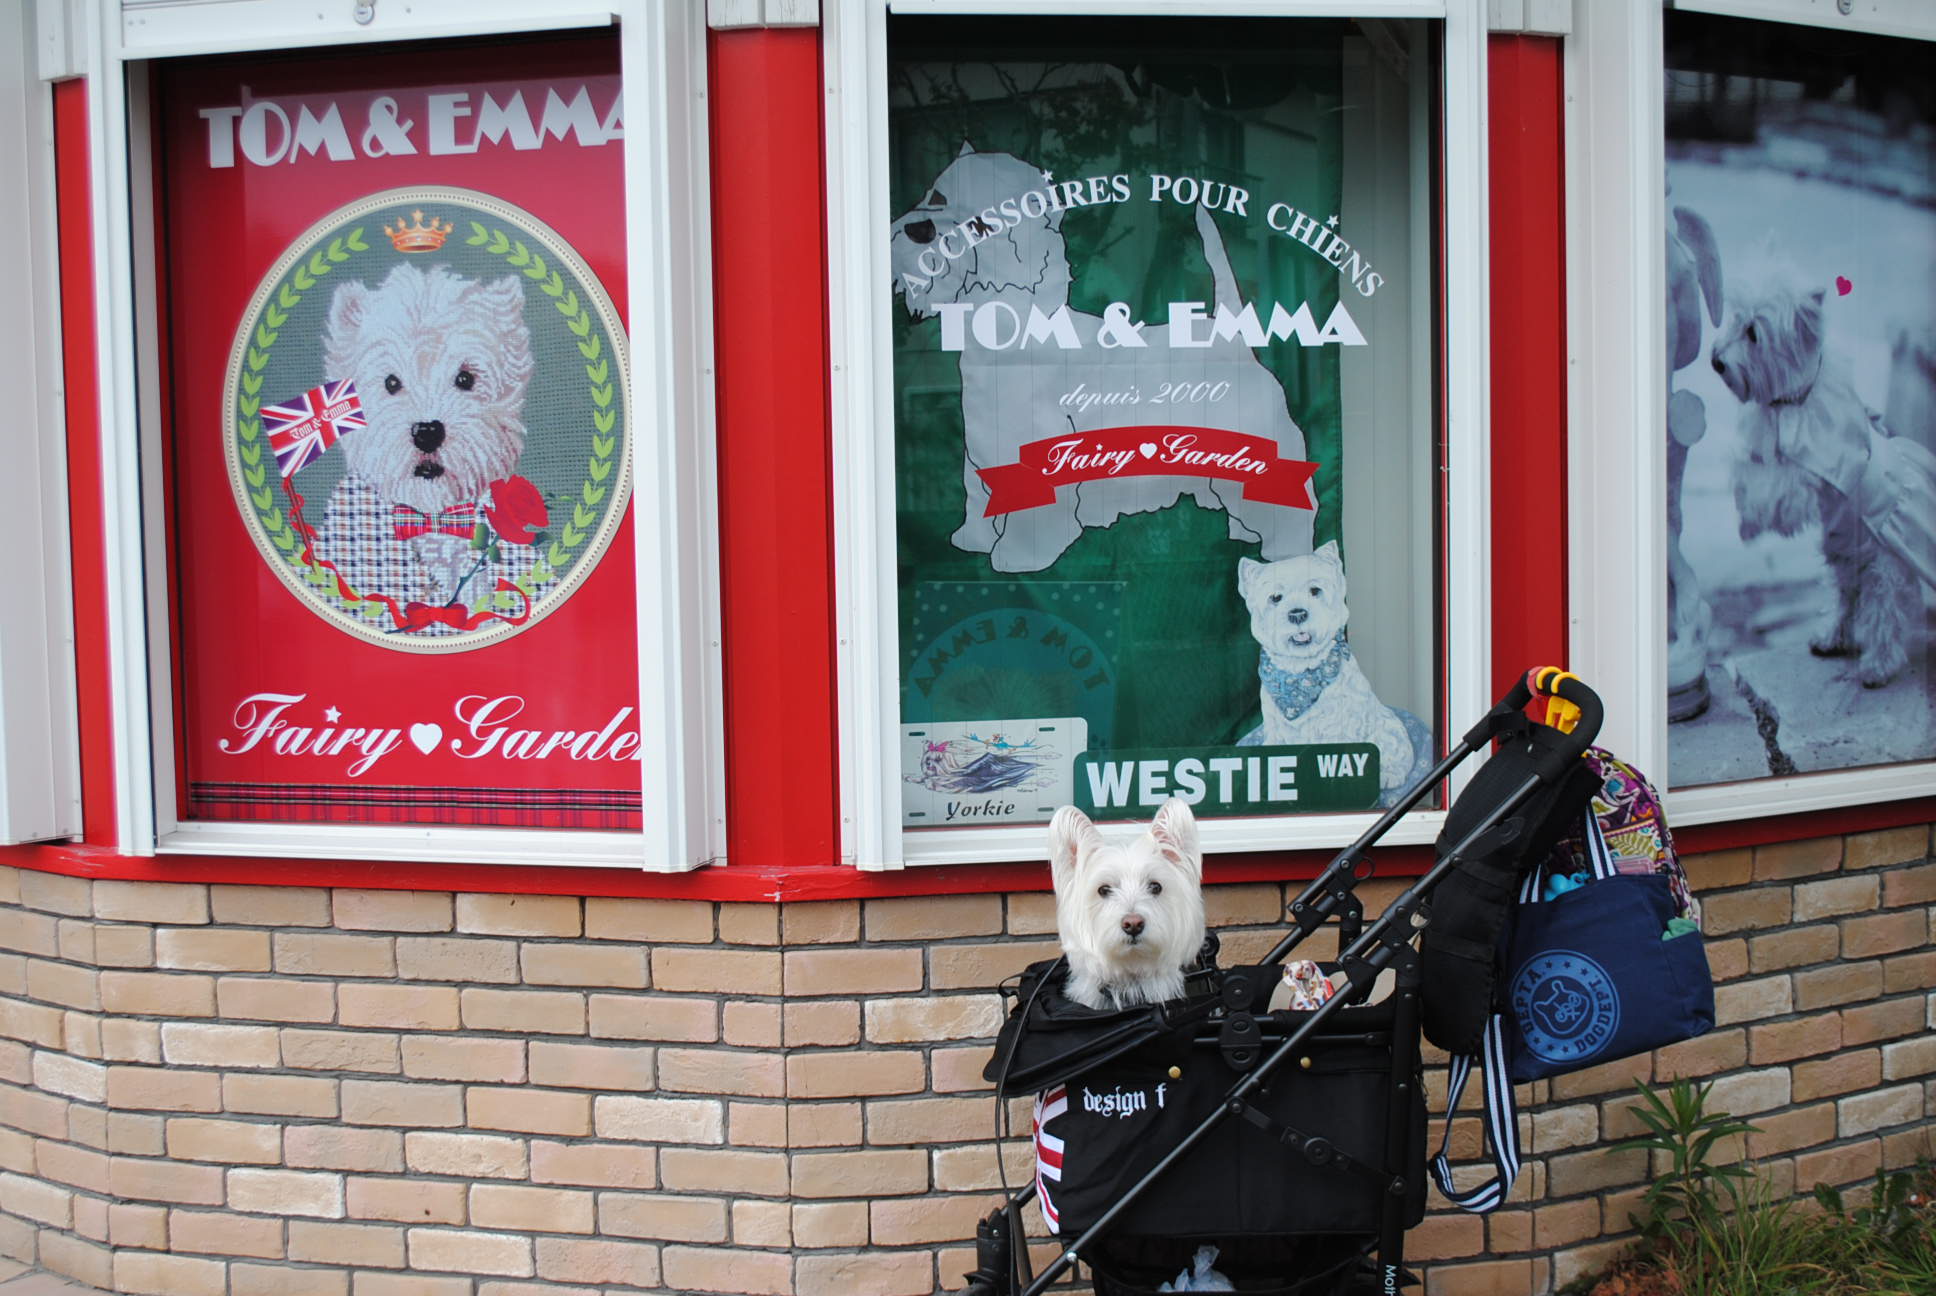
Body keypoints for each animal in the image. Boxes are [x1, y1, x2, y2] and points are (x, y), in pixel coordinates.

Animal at [886, 144, 1316, 573]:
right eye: (937, 198)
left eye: (980, 226)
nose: (920, 231)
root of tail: (1233, 336)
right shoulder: (982, 443)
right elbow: (977, 494)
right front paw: (972, 539)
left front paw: (1017, 557)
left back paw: (1288, 552)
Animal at [1231, 542, 1417, 794]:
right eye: (1276, 597)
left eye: (1315, 590)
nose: (1297, 614)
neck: (1301, 674)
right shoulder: (1276, 728)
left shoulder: (1341, 727)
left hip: (1390, 728)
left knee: (1395, 755)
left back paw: (1388, 777)